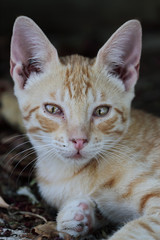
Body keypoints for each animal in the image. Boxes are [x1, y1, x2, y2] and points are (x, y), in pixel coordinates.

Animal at [9, 15, 160, 239]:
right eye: (53, 109)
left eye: (101, 111)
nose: (79, 140)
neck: (67, 174)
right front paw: (79, 214)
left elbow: (135, 229)